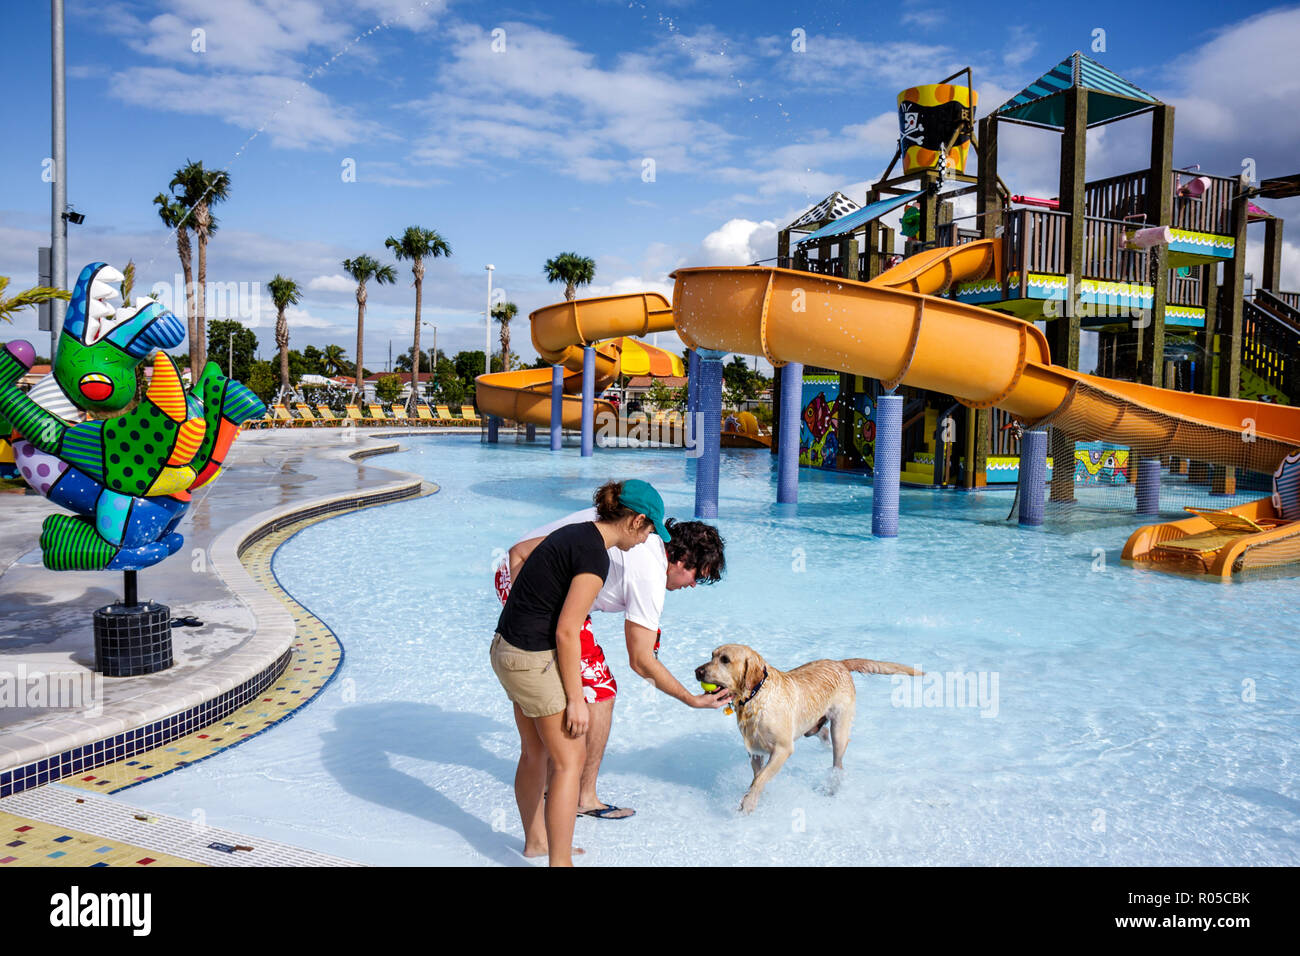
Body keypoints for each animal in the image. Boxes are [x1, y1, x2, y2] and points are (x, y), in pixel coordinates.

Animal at [696, 647, 920, 811]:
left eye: (725, 659)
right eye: (712, 655)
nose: (697, 671)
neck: (755, 696)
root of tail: (840, 663)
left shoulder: (782, 749)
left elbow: (760, 779)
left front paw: (749, 803)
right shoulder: (755, 751)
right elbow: (757, 777)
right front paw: (756, 796)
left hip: (840, 727)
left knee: (838, 762)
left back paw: (832, 788)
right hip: (810, 726)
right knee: (821, 733)